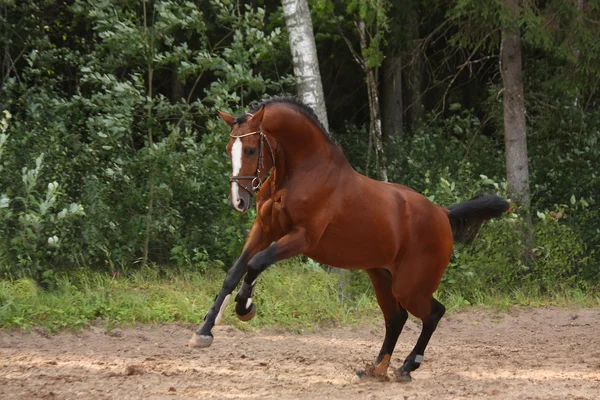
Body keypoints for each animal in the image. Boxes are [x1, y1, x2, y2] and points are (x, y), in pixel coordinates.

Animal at [190, 95, 508, 380]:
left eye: (251, 149)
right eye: (229, 148)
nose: (239, 201)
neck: (301, 172)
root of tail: (443, 213)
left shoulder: (302, 238)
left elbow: (256, 263)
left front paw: (245, 307)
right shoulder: (264, 229)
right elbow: (234, 272)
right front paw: (204, 332)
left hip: (410, 286)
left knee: (433, 313)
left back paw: (407, 367)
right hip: (381, 277)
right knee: (397, 319)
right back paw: (377, 369)